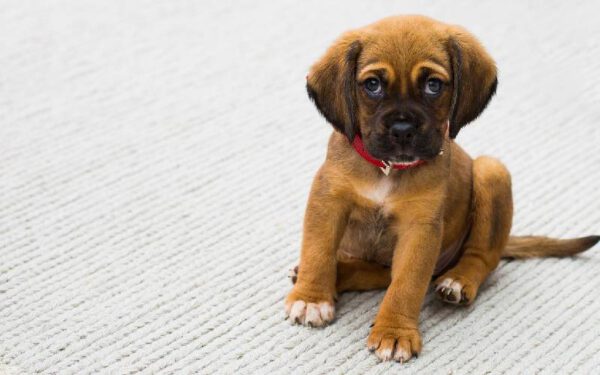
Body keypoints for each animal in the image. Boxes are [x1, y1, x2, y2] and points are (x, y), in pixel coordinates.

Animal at [286, 15, 600, 364]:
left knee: (482, 257)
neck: (388, 170)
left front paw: (395, 332)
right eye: (373, 85)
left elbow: (407, 285)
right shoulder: (328, 201)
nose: (402, 130)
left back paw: (459, 281)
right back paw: (337, 273)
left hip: (492, 171)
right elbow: (318, 252)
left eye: (433, 85)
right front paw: (312, 297)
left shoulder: (420, 229)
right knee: (377, 273)